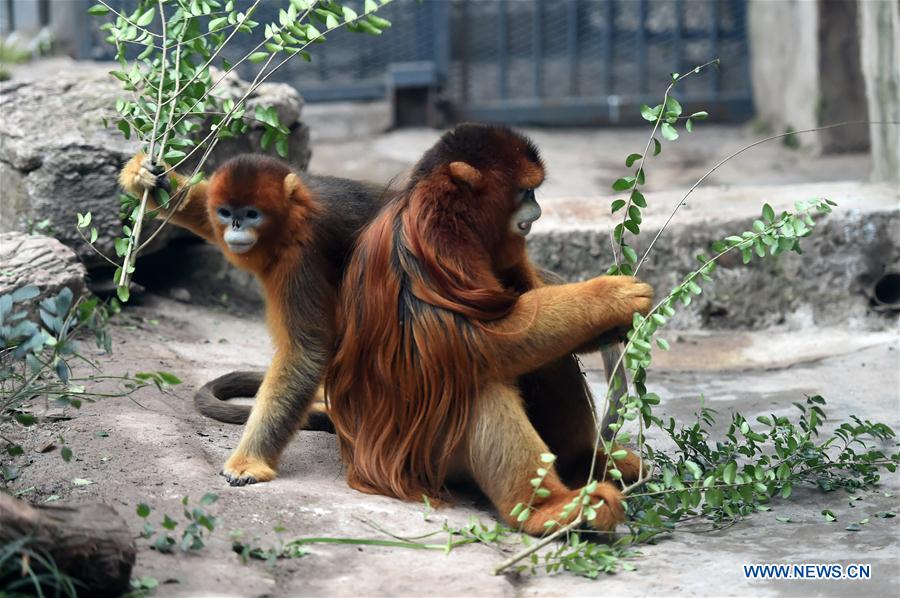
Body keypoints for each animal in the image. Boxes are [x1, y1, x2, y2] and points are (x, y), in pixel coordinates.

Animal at [120, 152, 390, 485]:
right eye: (226, 213)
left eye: (252, 215)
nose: (236, 225)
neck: (295, 215)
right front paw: (148, 177)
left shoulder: (301, 253)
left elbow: (305, 351)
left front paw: (250, 461)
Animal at [324, 124, 653, 535]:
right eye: (526, 192)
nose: (537, 211)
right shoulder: (434, 242)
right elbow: (483, 339)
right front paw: (609, 297)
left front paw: (616, 324)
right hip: (430, 460)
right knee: (478, 381)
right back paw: (546, 509)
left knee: (548, 358)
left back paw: (581, 464)